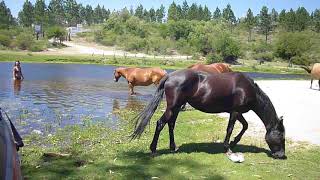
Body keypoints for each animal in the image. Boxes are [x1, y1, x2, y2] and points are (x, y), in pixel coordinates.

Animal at [131, 69, 286, 160]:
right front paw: (228, 147)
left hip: (176, 108)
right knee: (160, 123)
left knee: (171, 124)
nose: (281, 155)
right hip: (173, 107)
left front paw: (234, 142)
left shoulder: (236, 112)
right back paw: (153, 150)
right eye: (281, 136)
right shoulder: (235, 112)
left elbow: (245, 126)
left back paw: (173, 147)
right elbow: (230, 129)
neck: (247, 88)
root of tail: (169, 76)